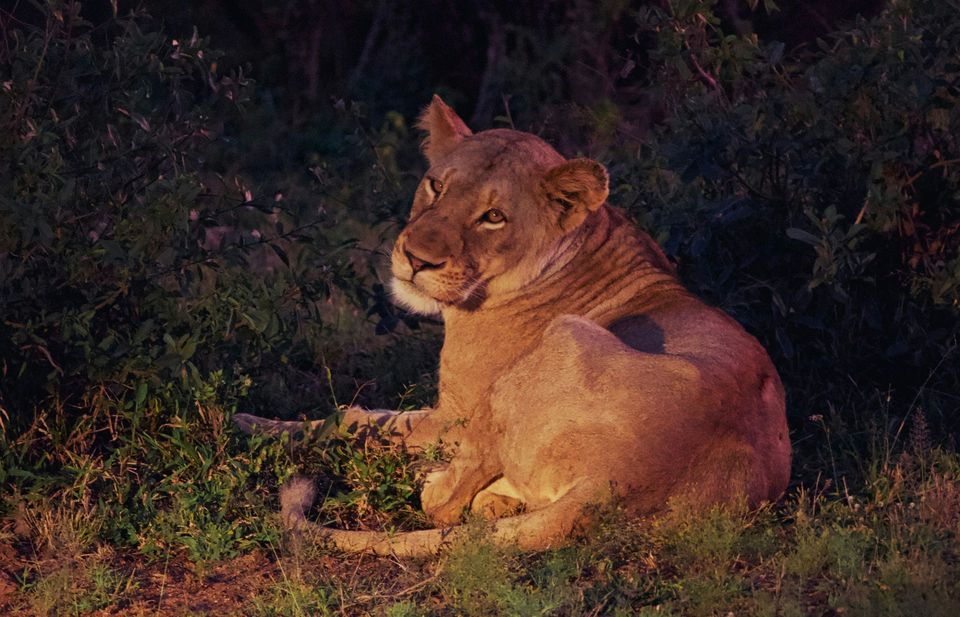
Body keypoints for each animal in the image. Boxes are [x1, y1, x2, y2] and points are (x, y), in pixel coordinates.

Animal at [235, 95, 791, 556]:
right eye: (436, 185)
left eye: (494, 216)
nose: (416, 259)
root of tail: (617, 484)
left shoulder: (454, 414)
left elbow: (353, 419)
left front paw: (242, 422)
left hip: (559, 341)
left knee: (443, 502)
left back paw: (434, 481)